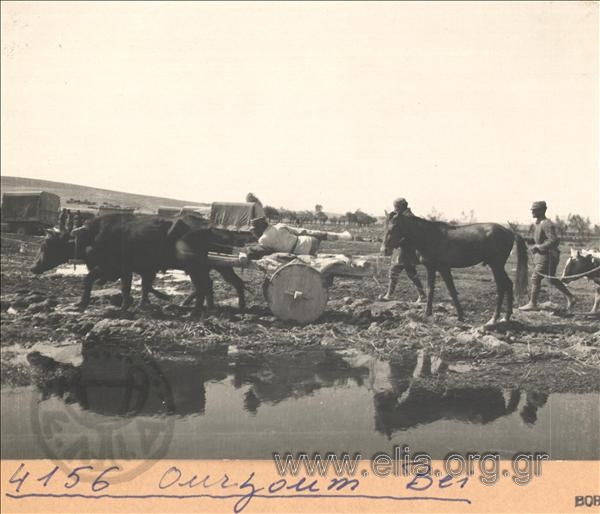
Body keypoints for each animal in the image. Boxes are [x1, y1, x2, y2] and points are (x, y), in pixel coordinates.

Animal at [382, 212, 528, 324]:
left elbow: (452, 291)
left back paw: (494, 319)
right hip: (498, 266)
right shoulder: (431, 268)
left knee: (501, 287)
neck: (429, 236)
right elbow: (430, 290)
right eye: (385, 225)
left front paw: (460, 316)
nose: (384, 250)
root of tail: (510, 231)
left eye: (395, 226)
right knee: (508, 285)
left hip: (496, 265)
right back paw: (506, 317)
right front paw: (427, 313)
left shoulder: (444, 268)